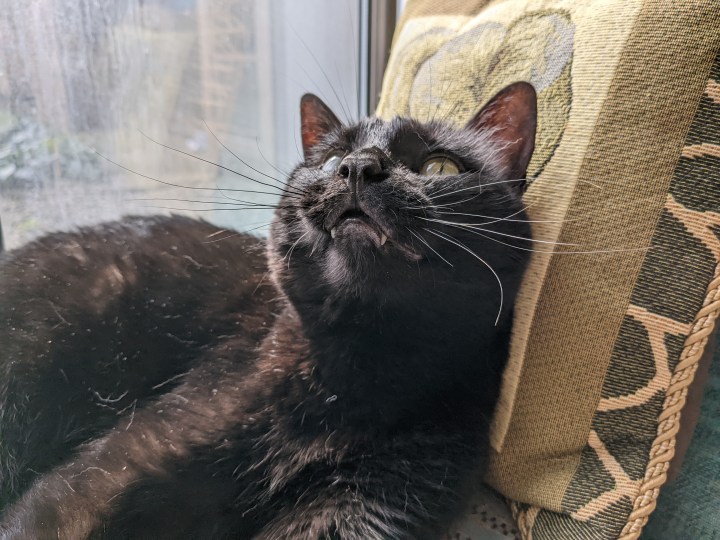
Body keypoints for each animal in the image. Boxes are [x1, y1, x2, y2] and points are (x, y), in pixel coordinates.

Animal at [0, 82, 536, 536]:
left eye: (440, 167)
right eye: (333, 158)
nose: (359, 167)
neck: (357, 376)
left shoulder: (368, 504)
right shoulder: (124, 463)